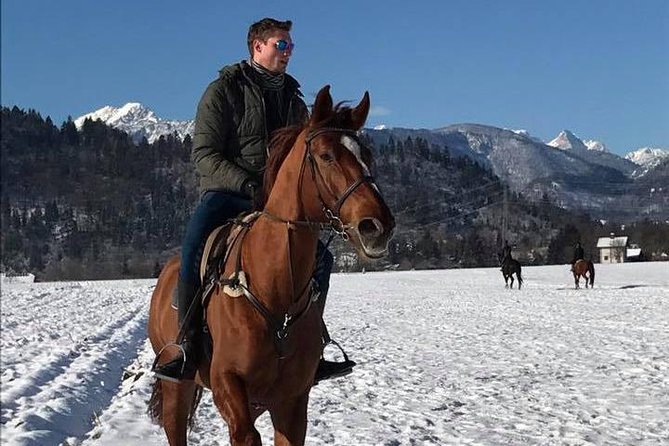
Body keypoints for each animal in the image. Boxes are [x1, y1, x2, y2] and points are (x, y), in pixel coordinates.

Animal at [147, 85, 395, 446]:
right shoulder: (228, 385)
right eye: (326, 156)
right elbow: (247, 435)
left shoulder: (291, 401)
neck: (274, 287)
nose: (378, 226)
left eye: (368, 156)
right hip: (177, 387)